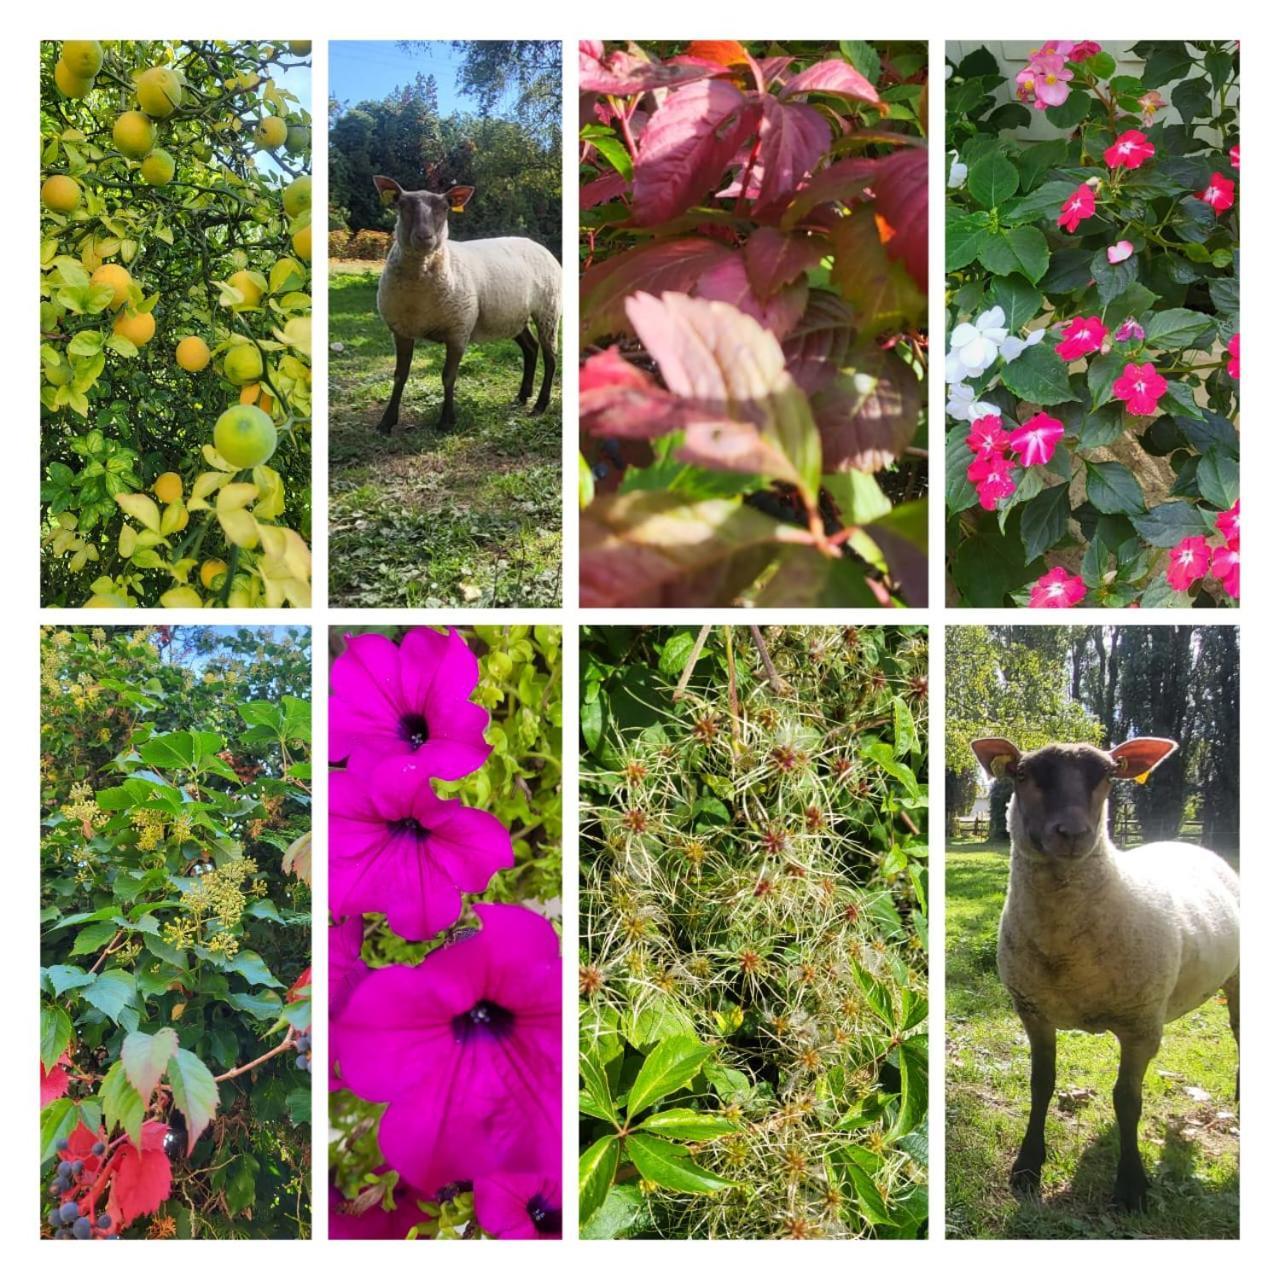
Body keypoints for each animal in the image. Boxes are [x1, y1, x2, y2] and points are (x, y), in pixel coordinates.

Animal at [371, 177, 560, 432]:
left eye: (444, 208)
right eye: (402, 205)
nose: (424, 238)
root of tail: (536, 244)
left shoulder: (458, 330)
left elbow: (448, 376)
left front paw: (446, 421)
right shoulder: (401, 331)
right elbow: (400, 375)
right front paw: (387, 422)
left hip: (548, 310)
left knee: (550, 357)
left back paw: (540, 405)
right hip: (512, 316)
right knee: (531, 348)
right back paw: (522, 395)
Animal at [967, 737, 1239, 1213]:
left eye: (1110, 775)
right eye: (1022, 774)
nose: (1073, 833)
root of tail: (1192, 846)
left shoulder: (1139, 1025)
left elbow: (1127, 1101)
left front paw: (1131, 1186)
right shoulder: (1033, 1013)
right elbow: (1041, 1085)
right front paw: (1027, 1166)